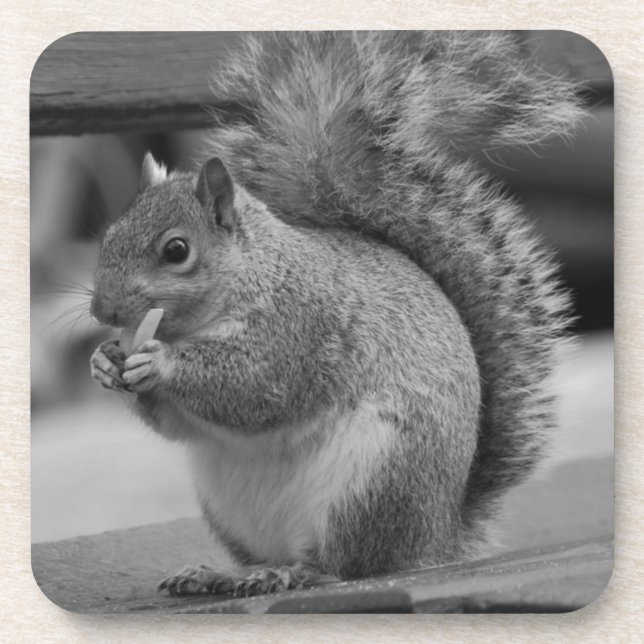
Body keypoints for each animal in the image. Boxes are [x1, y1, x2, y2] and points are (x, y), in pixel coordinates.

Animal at [90, 31, 583, 597]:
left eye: (176, 250)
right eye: (108, 236)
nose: (101, 309)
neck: (253, 274)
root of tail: (438, 537)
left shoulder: (300, 327)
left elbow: (254, 388)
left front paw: (158, 361)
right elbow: (176, 423)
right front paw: (104, 361)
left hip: (374, 481)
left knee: (346, 564)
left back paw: (292, 572)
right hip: (229, 506)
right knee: (270, 556)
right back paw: (219, 574)